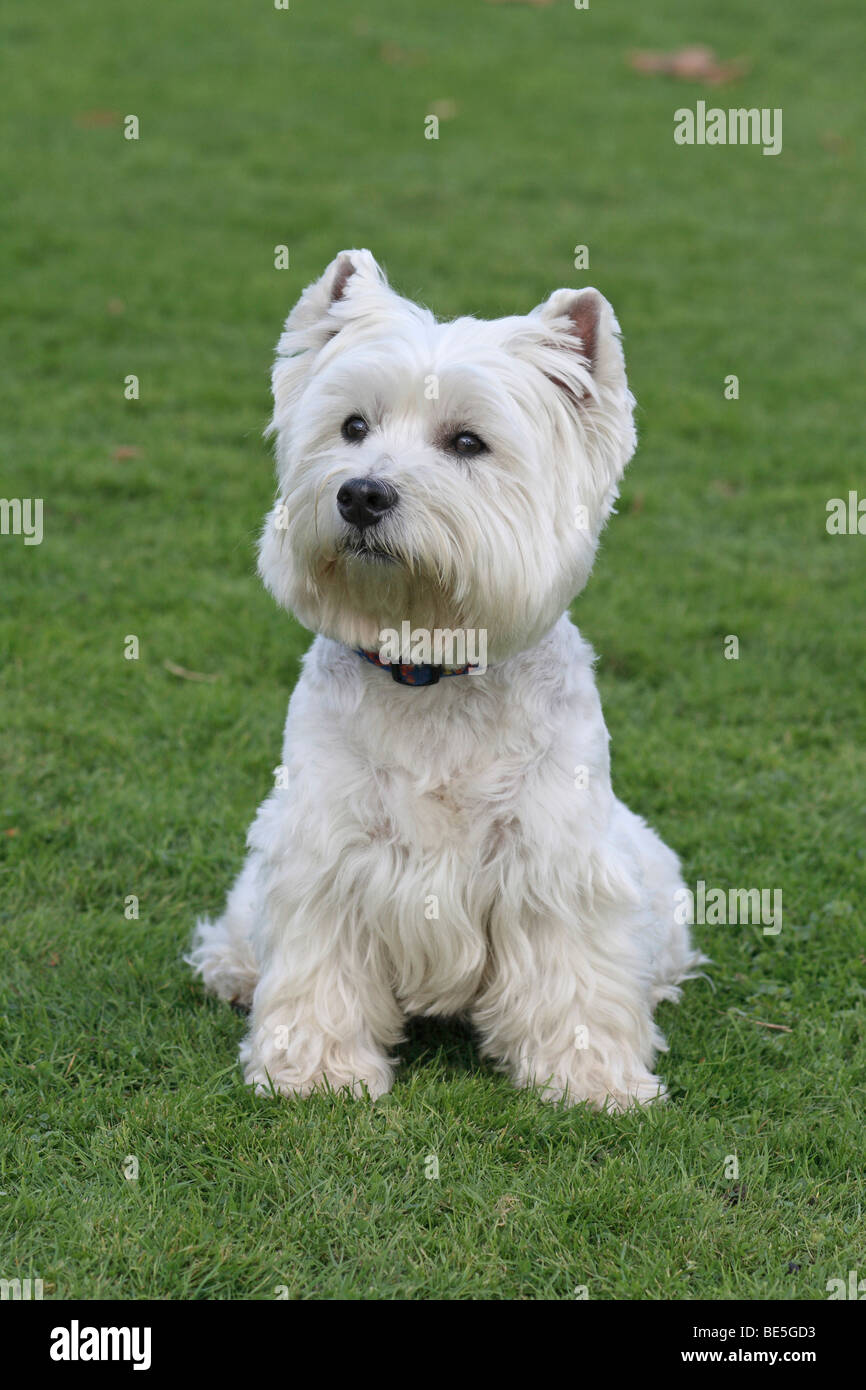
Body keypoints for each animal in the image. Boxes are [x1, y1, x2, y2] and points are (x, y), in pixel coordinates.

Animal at [187, 250, 706, 1112]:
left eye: (467, 442)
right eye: (352, 427)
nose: (361, 493)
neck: (428, 669)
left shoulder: (554, 859)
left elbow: (574, 975)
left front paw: (591, 1077)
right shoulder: (325, 849)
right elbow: (320, 969)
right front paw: (316, 1070)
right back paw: (232, 970)